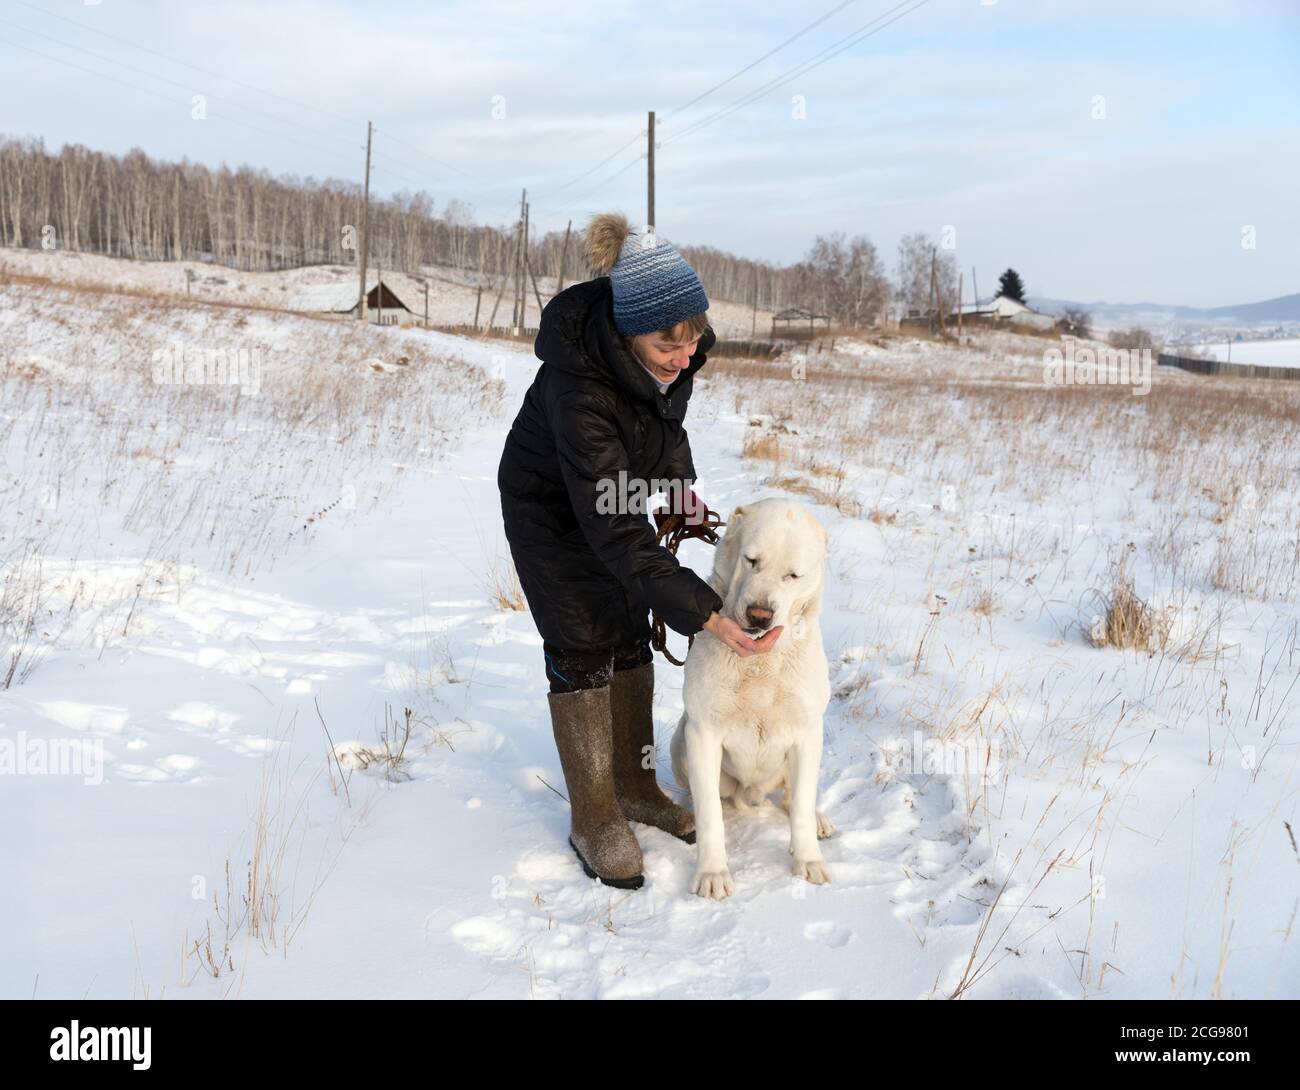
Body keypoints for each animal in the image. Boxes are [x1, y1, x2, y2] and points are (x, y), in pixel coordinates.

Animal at [665, 499, 837, 900]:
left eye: (793, 575)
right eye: (751, 560)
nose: (760, 614)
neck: (760, 664)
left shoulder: (807, 733)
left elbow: (801, 804)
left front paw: (808, 861)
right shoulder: (702, 735)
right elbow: (710, 815)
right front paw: (712, 872)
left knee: (793, 797)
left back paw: (817, 819)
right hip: (680, 740)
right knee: (703, 794)